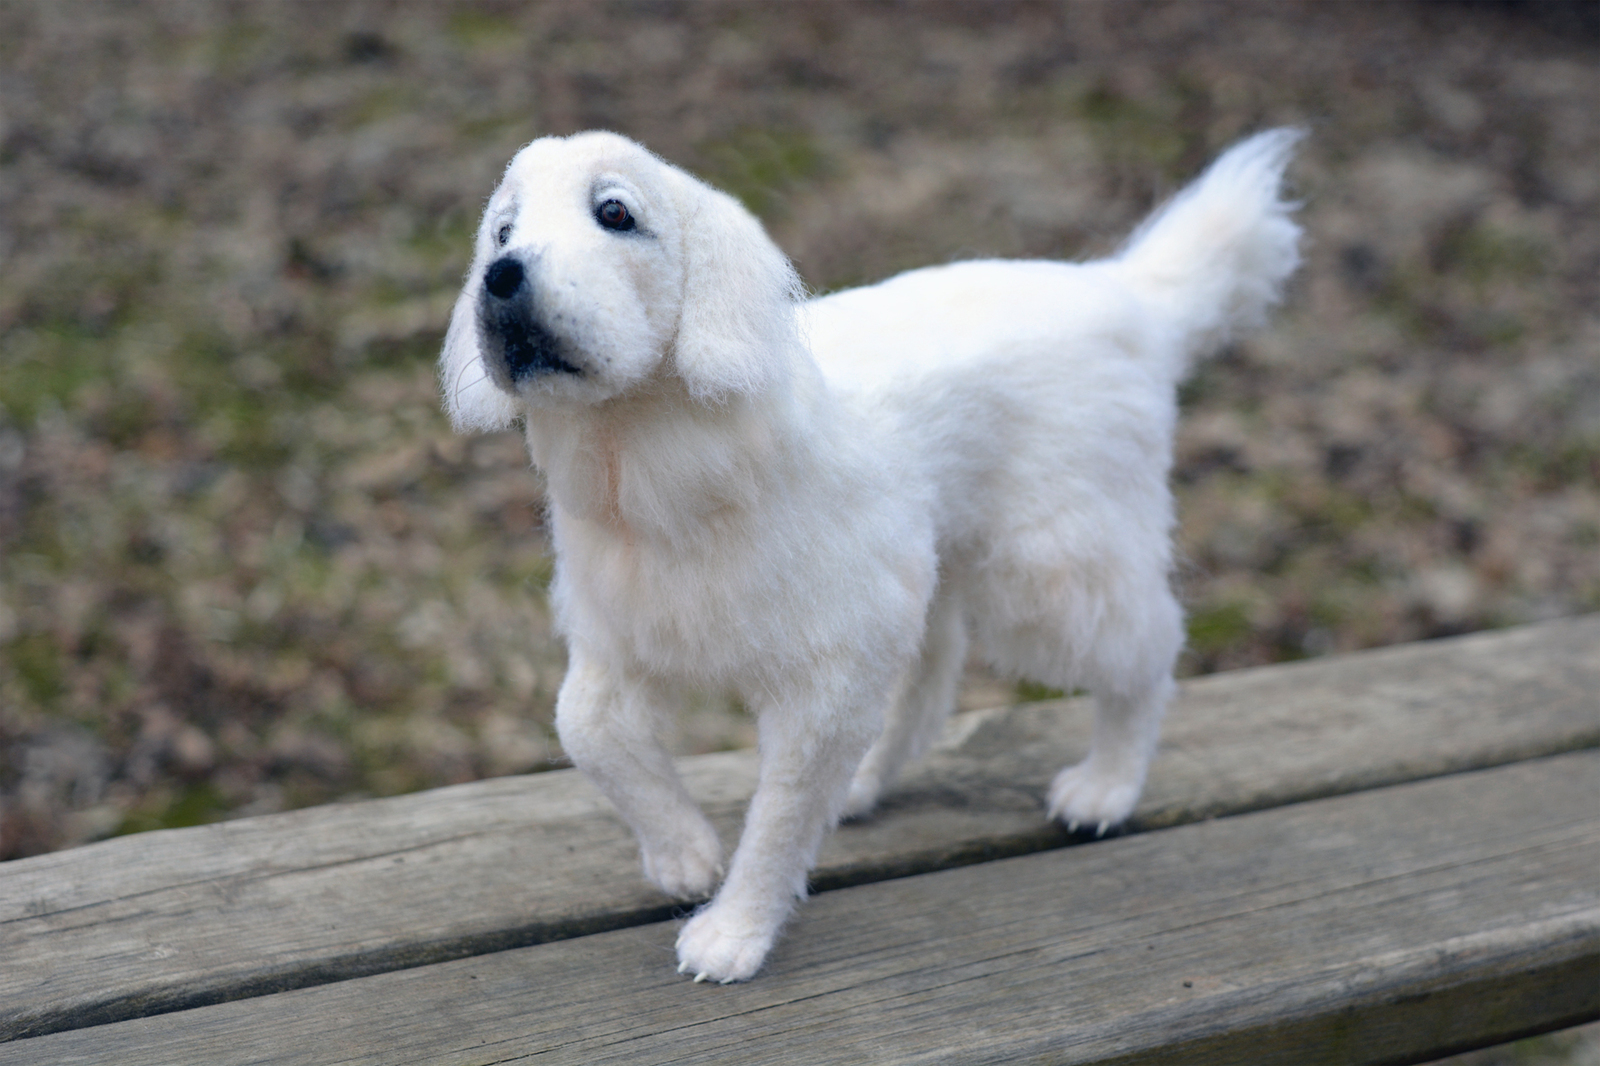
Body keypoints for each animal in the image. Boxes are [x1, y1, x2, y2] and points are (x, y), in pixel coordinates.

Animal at [435, 126, 1299, 979]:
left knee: (1147, 649)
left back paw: (1108, 787)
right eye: (503, 232)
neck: (653, 475)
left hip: (1048, 576)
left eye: (614, 213)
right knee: (929, 684)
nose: (501, 277)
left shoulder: (822, 680)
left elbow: (778, 819)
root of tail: (1129, 297)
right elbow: (586, 733)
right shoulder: (622, 645)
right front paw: (682, 854)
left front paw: (735, 932)